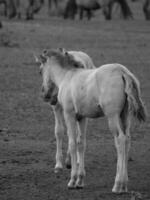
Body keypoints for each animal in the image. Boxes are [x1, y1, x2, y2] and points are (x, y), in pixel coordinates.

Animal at [35, 47, 146, 193]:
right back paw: (124, 185)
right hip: (125, 115)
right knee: (127, 139)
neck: (67, 76)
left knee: (120, 140)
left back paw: (118, 184)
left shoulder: (69, 114)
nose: (45, 95)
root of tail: (122, 71)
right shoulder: (82, 117)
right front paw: (80, 180)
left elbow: (72, 143)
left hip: (112, 116)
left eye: (40, 71)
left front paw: (72, 180)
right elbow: (81, 143)